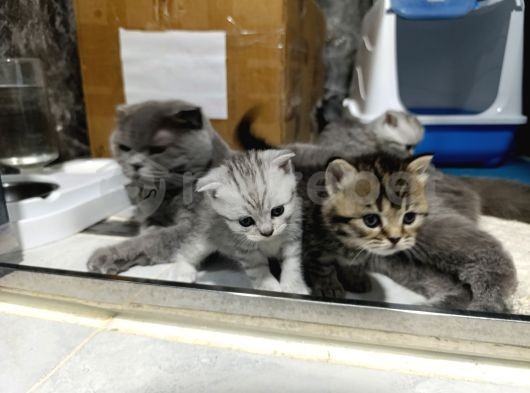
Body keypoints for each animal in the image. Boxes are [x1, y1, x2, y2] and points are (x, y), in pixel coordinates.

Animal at [89, 149, 308, 294]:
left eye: (277, 211)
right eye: (246, 222)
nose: (267, 232)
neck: (269, 242)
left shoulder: (293, 239)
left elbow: (292, 265)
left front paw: (293, 287)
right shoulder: (246, 251)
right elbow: (259, 270)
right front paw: (270, 287)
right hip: (201, 240)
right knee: (186, 251)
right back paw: (183, 272)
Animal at [300, 153, 512, 312]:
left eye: (409, 218)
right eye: (371, 220)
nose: (395, 239)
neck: (349, 242)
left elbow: (354, 265)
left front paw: (355, 279)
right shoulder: (314, 247)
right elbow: (323, 267)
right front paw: (329, 286)